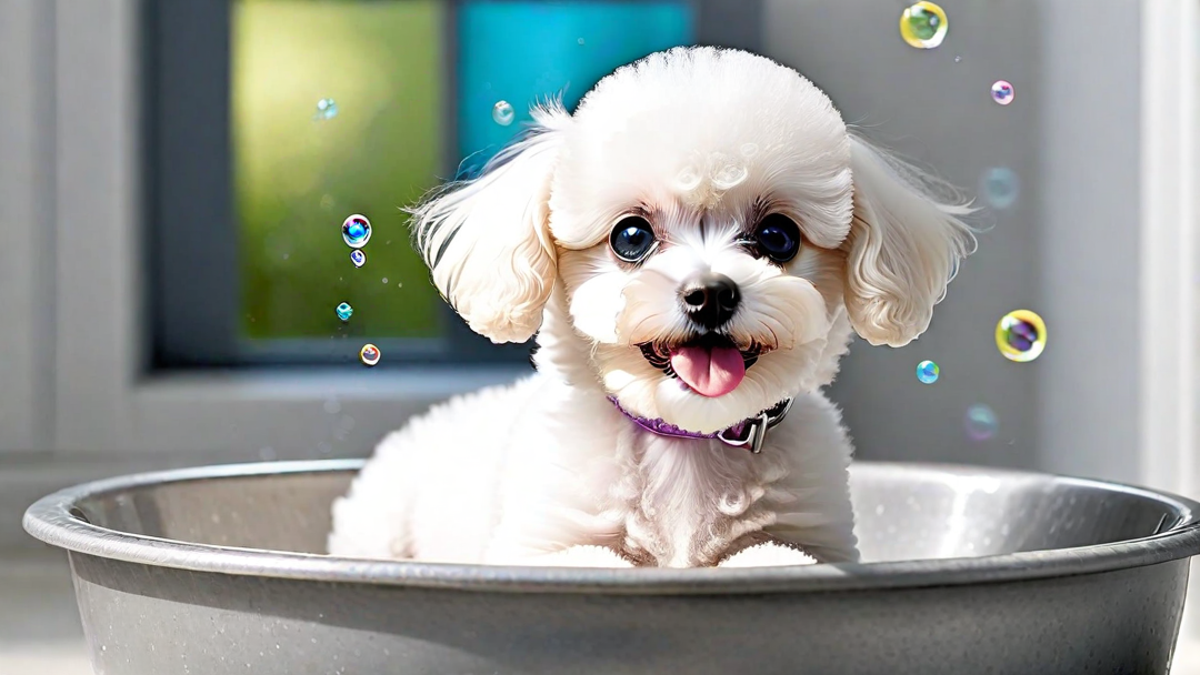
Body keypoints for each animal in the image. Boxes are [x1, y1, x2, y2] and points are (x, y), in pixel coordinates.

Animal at [328, 44, 974, 564]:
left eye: (778, 237)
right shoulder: (544, 543)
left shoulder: (815, 536)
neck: (686, 445)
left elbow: (773, 555)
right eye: (631, 236)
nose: (710, 294)